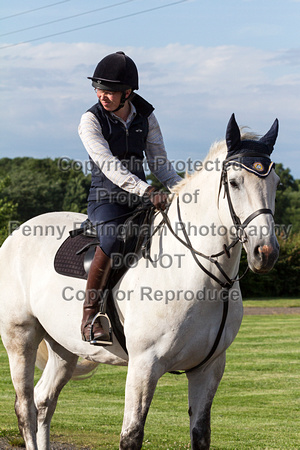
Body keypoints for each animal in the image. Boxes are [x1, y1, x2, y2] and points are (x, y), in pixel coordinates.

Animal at [0, 114, 280, 448]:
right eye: (235, 182)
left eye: (276, 183)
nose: (265, 252)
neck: (202, 279)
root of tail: (18, 232)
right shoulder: (144, 365)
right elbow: (131, 435)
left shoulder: (208, 369)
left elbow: (200, 434)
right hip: (21, 337)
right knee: (25, 407)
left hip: (63, 346)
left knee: (44, 401)